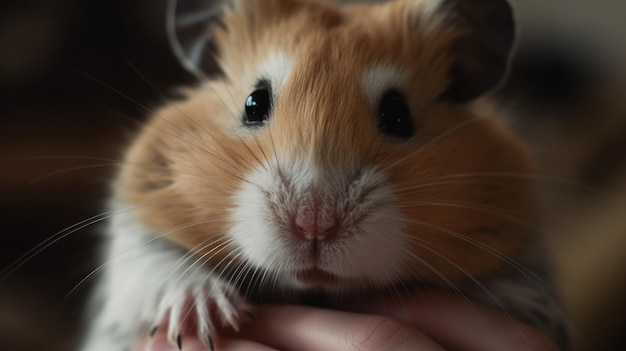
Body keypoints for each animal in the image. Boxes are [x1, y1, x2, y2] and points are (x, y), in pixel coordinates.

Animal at [77, 0, 564, 350]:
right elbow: (155, 266)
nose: (314, 223)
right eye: (254, 103)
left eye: (399, 115)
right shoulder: (134, 232)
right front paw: (209, 318)